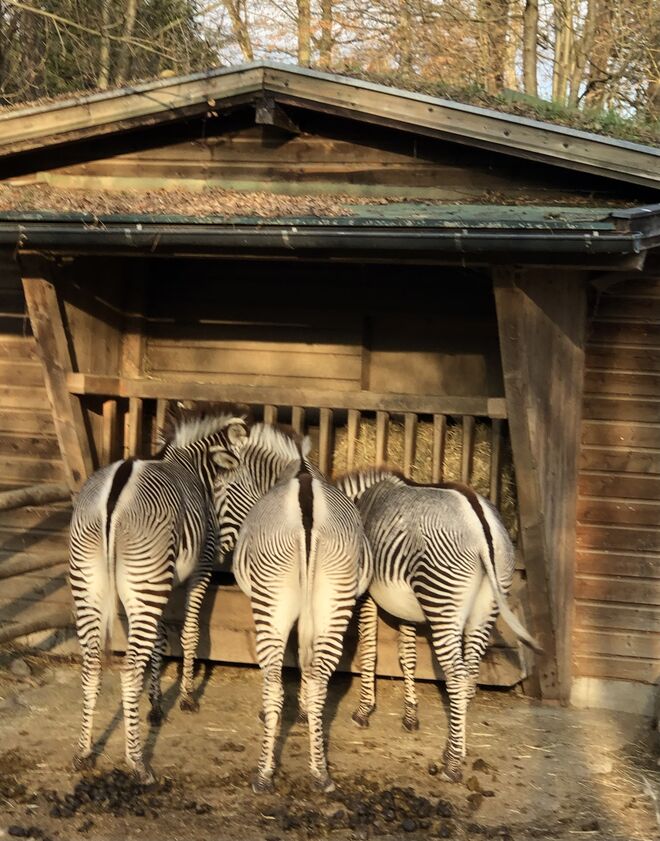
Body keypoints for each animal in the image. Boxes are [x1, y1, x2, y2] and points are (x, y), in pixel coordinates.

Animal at [68, 406, 249, 784]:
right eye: (238, 482)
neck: (192, 469)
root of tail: (113, 496)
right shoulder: (199, 570)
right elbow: (190, 632)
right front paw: (186, 697)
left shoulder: (161, 580)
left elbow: (160, 638)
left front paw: (154, 704)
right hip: (144, 581)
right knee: (127, 673)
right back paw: (137, 763)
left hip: (92, 584)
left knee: (91, 667)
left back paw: (83, 753)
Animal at [213, 423, 373, 794]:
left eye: (222, 489)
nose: (217, 550)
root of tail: (307, 502)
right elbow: (304, 656)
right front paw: (302, 712)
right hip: (335, 601)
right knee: (320, 680)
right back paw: (320, 772)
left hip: (271, 605)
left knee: (273, 681)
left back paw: (263, 774)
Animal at [336, 467, 540, 783]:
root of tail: (482, 522)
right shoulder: (407, 606)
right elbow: (407, 656)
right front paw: (410, 716)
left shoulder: (369, 593)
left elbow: (369, 650)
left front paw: (363, 711)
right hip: (486, 605)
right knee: (470, 676)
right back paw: (454, 751)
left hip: (442, 598)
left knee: (456, 676)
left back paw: (452, 767)